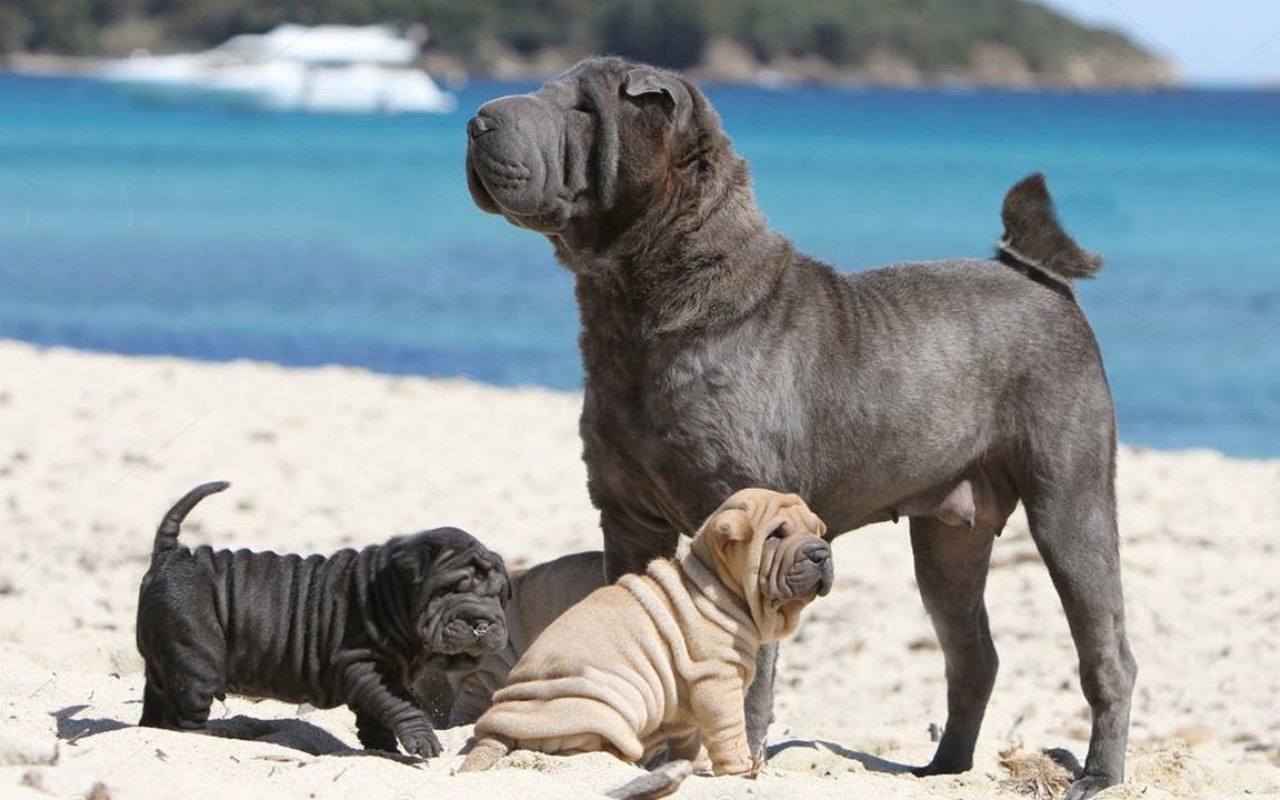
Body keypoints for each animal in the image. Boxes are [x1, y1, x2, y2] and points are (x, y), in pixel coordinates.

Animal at [132, 481, 506, 752]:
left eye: (500, 594)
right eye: (450, 590)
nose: (483, 623)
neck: (386, 596)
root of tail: (170, 554)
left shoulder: (377, 676)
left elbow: (377, 718)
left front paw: (383, 752)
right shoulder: (362, 666)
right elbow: (402, 705)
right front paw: (423, 740)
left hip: (165, 660)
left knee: (158, 703)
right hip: (195, 659)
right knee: (187, 715)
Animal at [458, 486, 829, 773]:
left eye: (816, 530)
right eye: (776, 535)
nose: (821, 552)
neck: (715, 581)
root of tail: (493, 729)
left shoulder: (690, 702)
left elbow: (690, 738)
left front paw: (693, 767)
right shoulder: (717, 681)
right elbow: (729, 729)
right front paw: (739, 770)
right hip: (611, 703)